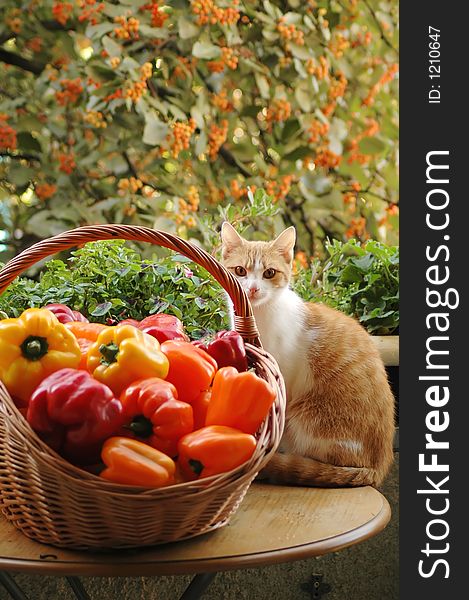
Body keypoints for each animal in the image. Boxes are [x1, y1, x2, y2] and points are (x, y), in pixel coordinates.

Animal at [220, 223, 394, 486]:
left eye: (269, 273)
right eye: (240, 271)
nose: (252, 288)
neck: (260, 316)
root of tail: (377, 467)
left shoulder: (283, 381)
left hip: (309, 419)